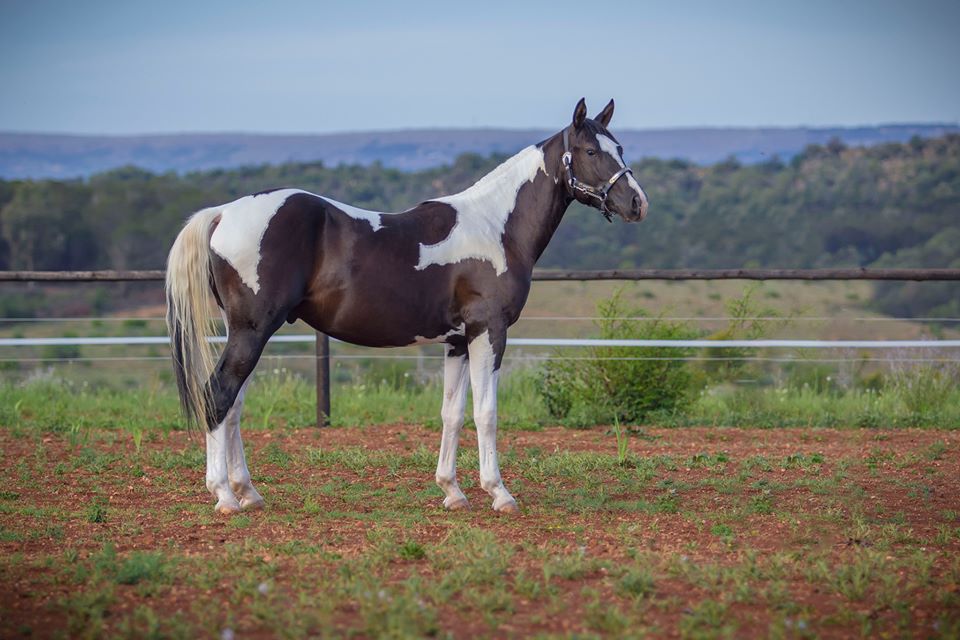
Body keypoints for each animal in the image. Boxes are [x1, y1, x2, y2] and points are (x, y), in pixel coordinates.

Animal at [165, 99, 648, 516]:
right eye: (590, 151)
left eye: (620, 148)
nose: (637, 204)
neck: (497, 226)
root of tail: (224, 213)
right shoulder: (489, 331)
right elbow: (486, 413)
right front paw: (499, 493)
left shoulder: (457, 341)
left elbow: (452, 414)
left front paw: (452, 491)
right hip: (252, 331)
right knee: (219, 395)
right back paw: (225, 496)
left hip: (248, 332)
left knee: (234, 406)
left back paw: (248, 491)